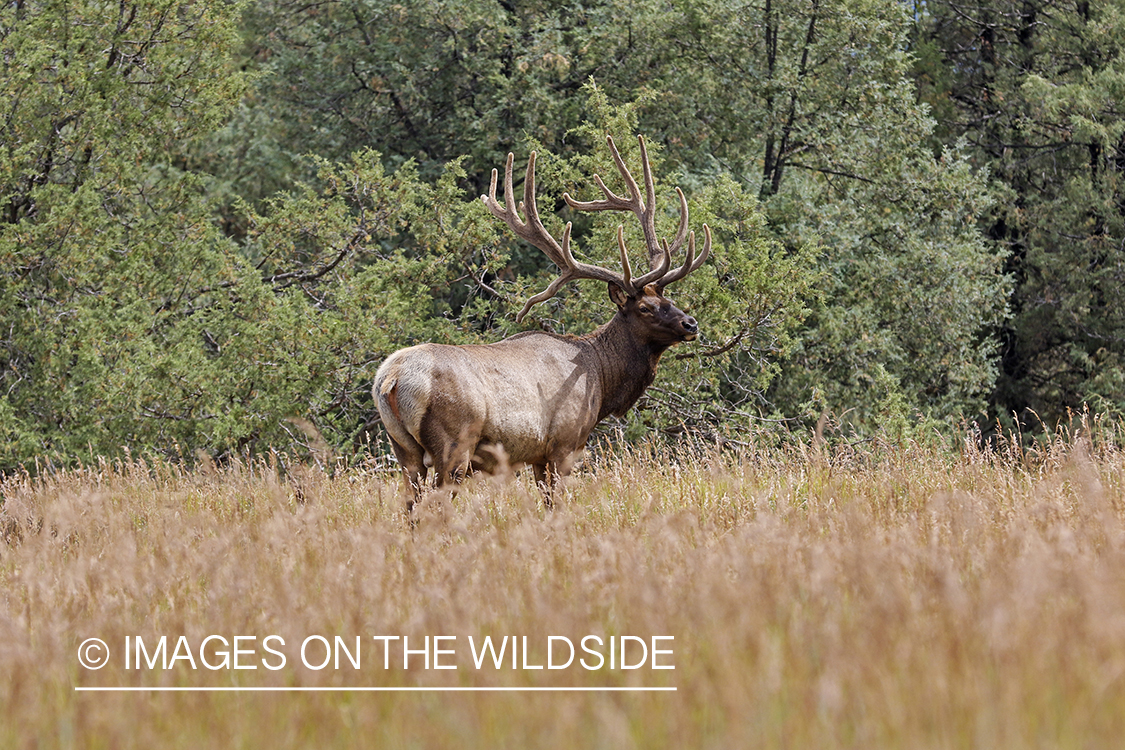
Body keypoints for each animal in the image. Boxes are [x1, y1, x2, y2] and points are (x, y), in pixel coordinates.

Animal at [378, 134, 711, 510]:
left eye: (669, 299)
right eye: (645, 307)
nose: (690, 324)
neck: (600, 377)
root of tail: (390, 379)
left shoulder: (537, 454)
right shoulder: (564, 443)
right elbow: (557, 503)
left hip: (403, 449)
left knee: (409, 505)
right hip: (454, 443)